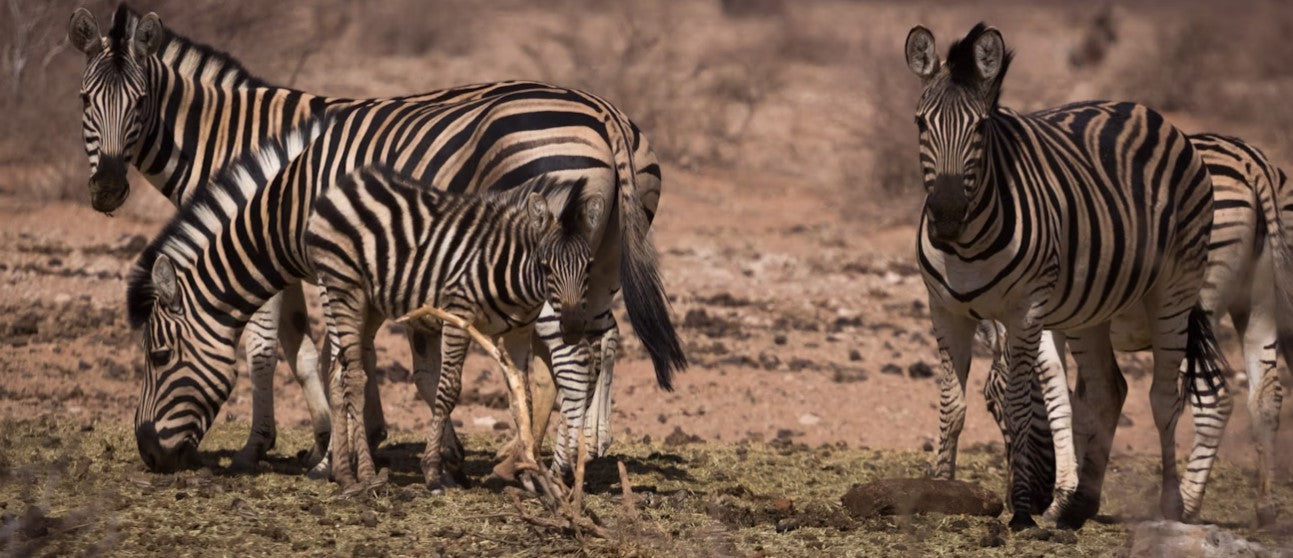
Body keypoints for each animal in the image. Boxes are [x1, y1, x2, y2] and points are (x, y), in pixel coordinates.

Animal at [307, 170, 599, 493]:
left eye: (588, 267)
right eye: (546, 267)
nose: (572, 329)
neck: (513, 272)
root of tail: (346, 184)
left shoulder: (519, 332)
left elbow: (523, 398)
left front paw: (531, 474)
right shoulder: (458, 314)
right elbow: (447, 390)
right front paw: (433, 472)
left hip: (370, 306)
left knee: (338, 373)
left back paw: (343, 473)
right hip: (344, 289)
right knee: (355, 377)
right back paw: (366, 474)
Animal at [977, 131, 1293, 527]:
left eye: (992, 404)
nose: (1015, 500)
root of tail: (1251, 162)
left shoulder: (1055, 320)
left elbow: (1065, 398)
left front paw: (1065, 497)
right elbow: (1093, 399)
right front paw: (1083, 495)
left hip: (1191, 308)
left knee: (1215, 398)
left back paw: (1188, 504)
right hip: (1259, 304)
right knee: (1267, 395)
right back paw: (1264, 508)